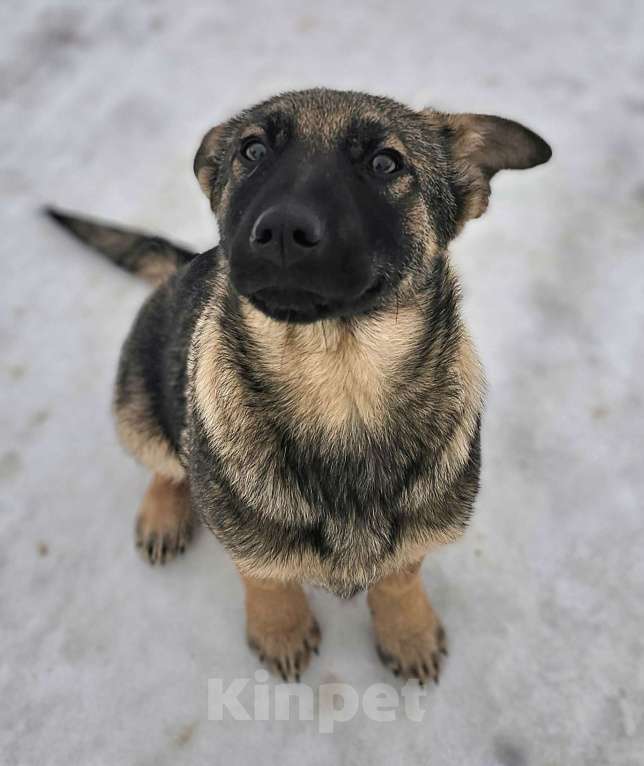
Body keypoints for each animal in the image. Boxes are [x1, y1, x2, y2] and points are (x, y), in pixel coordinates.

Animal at [46, 88, 548, 684]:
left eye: (386, 162)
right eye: (253, 150)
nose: (282, 231)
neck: (341, 387)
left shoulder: (416, 538)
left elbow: (399, 577)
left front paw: (407, 632)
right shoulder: (246, 539)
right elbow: (265, 575)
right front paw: (280, 629)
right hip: (137, 409)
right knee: (166, 464)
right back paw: (164, 513)